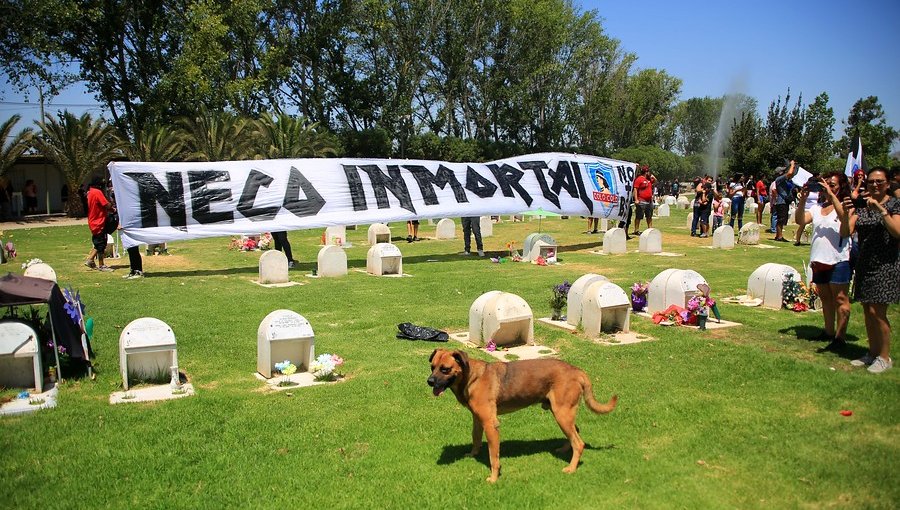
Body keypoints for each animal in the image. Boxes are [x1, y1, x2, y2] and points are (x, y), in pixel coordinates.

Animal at [426, 348, 616, 484]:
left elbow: (493, 456)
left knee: (579, 442)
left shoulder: (491, 424)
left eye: (445, 369)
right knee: (575, 431)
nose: (429, 381)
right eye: (432, 367)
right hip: (563, 413)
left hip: (562, 414)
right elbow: (475, 438)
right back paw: (564, 450)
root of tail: (577, 371)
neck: (471, 377)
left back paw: (571, 468)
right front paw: (473, 454)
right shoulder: (478, 420)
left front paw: (494, 478)